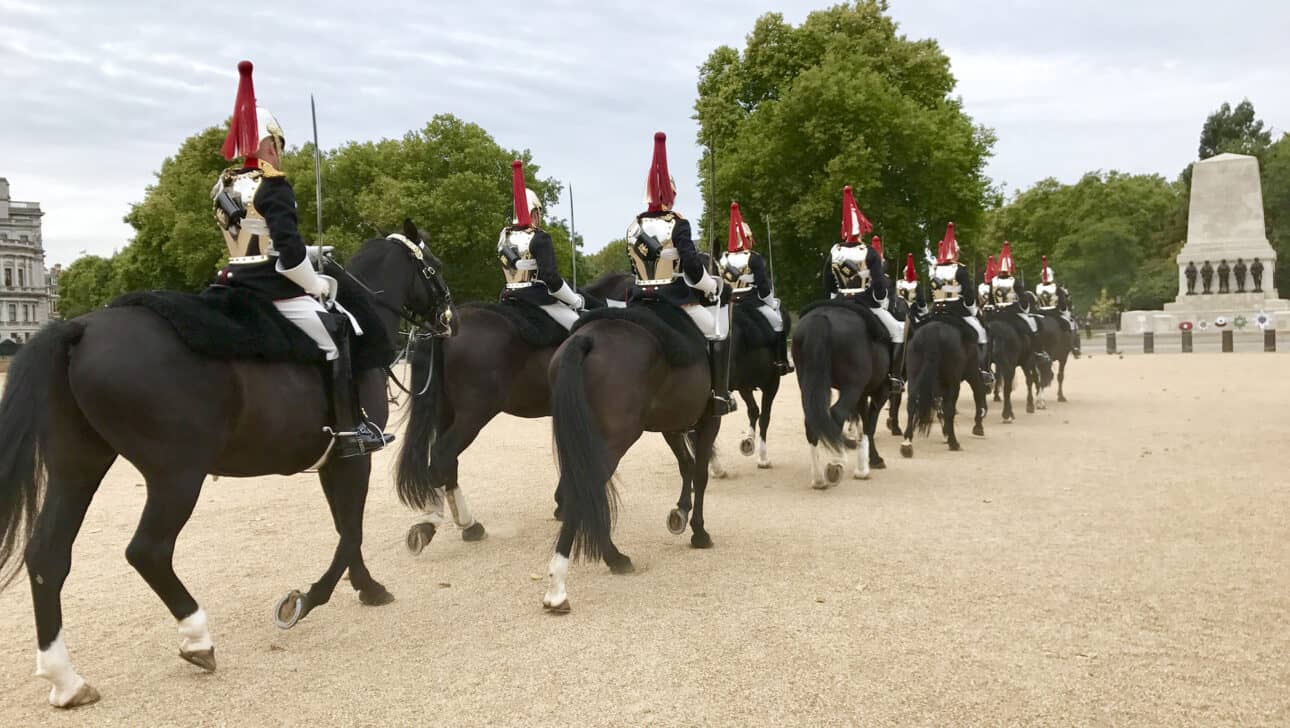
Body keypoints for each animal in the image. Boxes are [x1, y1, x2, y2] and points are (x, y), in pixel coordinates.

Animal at [0, 219, 454, 707]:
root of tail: (81, 328)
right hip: (177, 476)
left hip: (78, 468)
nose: (451, 318)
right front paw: (306, 600)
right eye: (433, 266)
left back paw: (66, 680)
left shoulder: (334, 460)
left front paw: (367, 587)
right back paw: (197, 638)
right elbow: (351, 531)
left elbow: (344, 528)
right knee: (148, 551)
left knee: (48, 556)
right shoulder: (354, 457)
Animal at [392, 273, 634, 552]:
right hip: (473, 416)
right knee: (443, 454)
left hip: (447, 412)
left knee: (447, 461)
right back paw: (434, 522)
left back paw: (463, 524)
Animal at [789, 302, 892, 487]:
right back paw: (836, 462)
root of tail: (821, 317)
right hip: (852, 388)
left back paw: (818, 478)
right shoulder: (877, 393)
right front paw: (871, 461)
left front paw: (863, 465)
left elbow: (864, 421)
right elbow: (869, 425)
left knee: (813, 422)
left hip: (810, 385)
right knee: (836, 414)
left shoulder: (862, 394)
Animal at [897, 317, 985, 456]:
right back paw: (954, 442)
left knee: (912, 403)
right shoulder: (972, 373)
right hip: (954, 381)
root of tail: (933, 332)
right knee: (950, 408)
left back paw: (907, 443)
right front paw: (977, 426)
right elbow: (977, 392)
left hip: (914, 375)